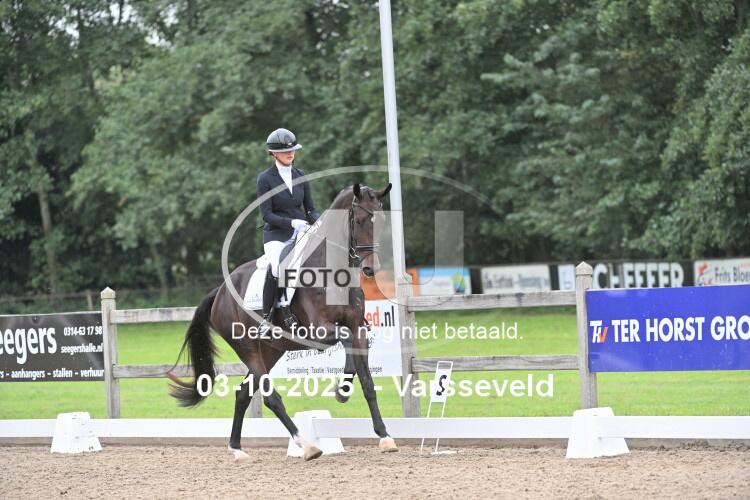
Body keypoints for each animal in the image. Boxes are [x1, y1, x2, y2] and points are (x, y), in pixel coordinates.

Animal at [167, 182, 397, 461]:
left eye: (382, 221)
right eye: (361, 220)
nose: (371, 269)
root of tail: (220, 292)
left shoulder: (358, 328)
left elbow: (367, 381)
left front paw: (384, 435)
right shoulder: (318, 331)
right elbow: (345, 339)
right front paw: (341, 392)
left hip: (270, 350)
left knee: (243, 393)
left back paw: (237, 448)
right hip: (247, 348)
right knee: (270, 397)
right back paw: (307, 446)